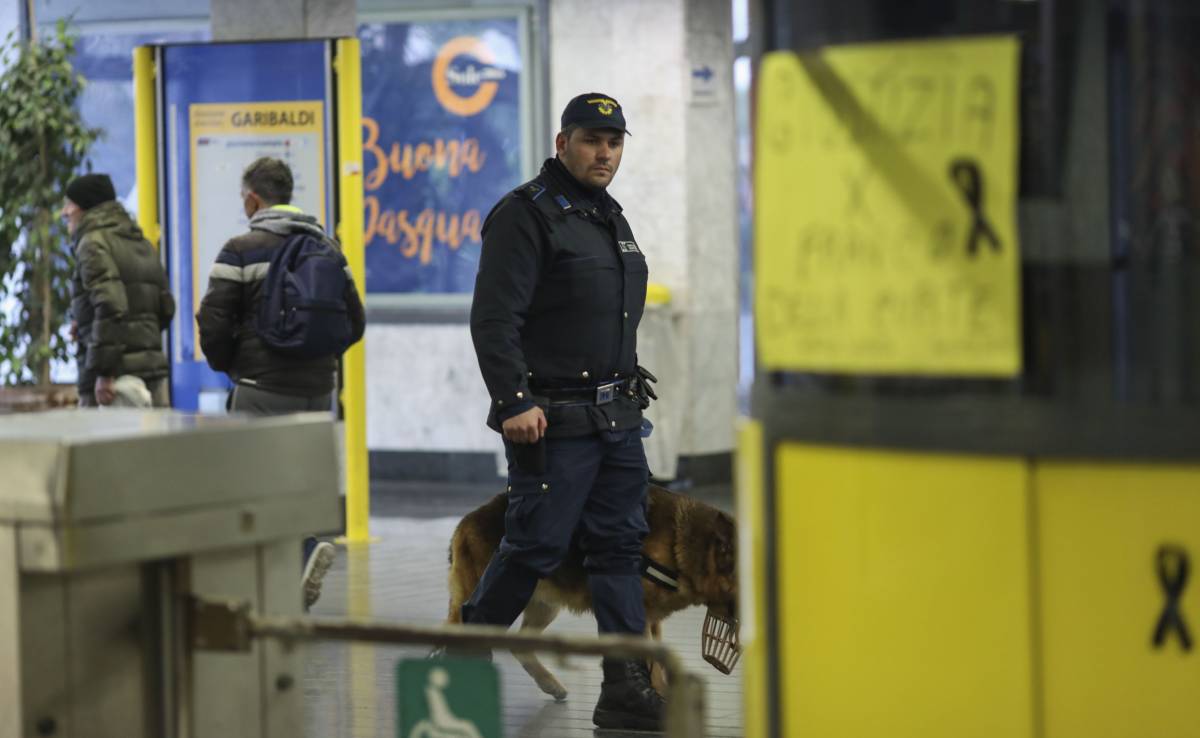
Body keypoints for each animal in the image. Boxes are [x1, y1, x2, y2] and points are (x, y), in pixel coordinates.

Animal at [446, 484, 734, 700]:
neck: (684, 544)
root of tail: (466, 521)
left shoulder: (653, 619)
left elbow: (658, 660)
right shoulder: (638, 614)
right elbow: (648, 660)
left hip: (544, 604)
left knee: (521, 645)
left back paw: (550, 683)